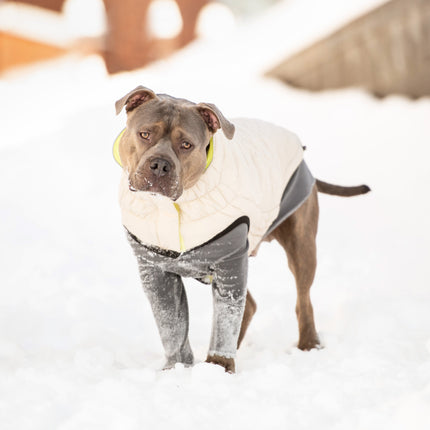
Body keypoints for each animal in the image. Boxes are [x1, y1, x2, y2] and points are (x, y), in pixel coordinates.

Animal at [113, 85, 370, 372]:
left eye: (186, 144)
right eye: (144, 134)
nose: (160, 165)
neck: (172, 207)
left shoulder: (230, 263)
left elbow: (226, 318)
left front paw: (218, 367)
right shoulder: (155, 271)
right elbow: (172, 327)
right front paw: (178, 370)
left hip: (301, 245)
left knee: (302, 300)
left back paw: (309, 345)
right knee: (251, 306)